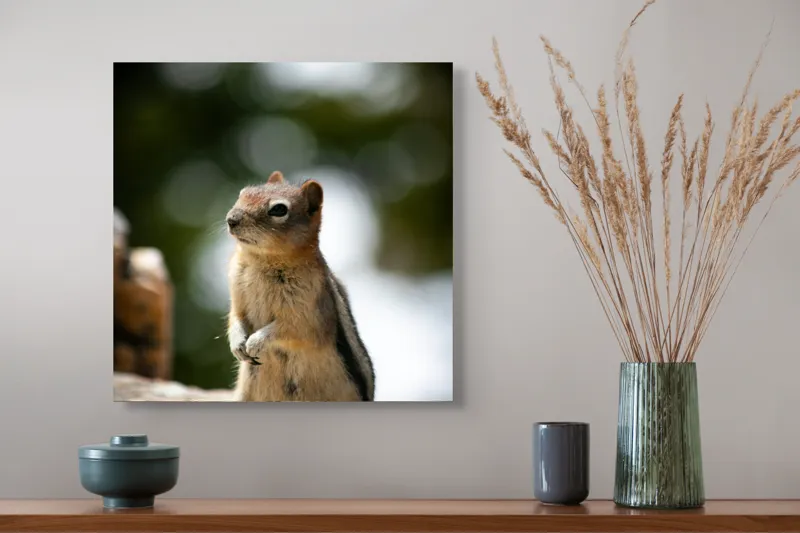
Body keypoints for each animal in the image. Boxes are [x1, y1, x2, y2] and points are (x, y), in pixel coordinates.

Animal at [224, 170, 375, 402]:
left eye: (279, 209)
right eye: (242, 193)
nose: (231, 219)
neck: (262, 261)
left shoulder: (308, 313)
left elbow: (293, 329)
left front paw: (255, 342)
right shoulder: (237, 296)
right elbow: (235, 318)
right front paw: (237, 342)